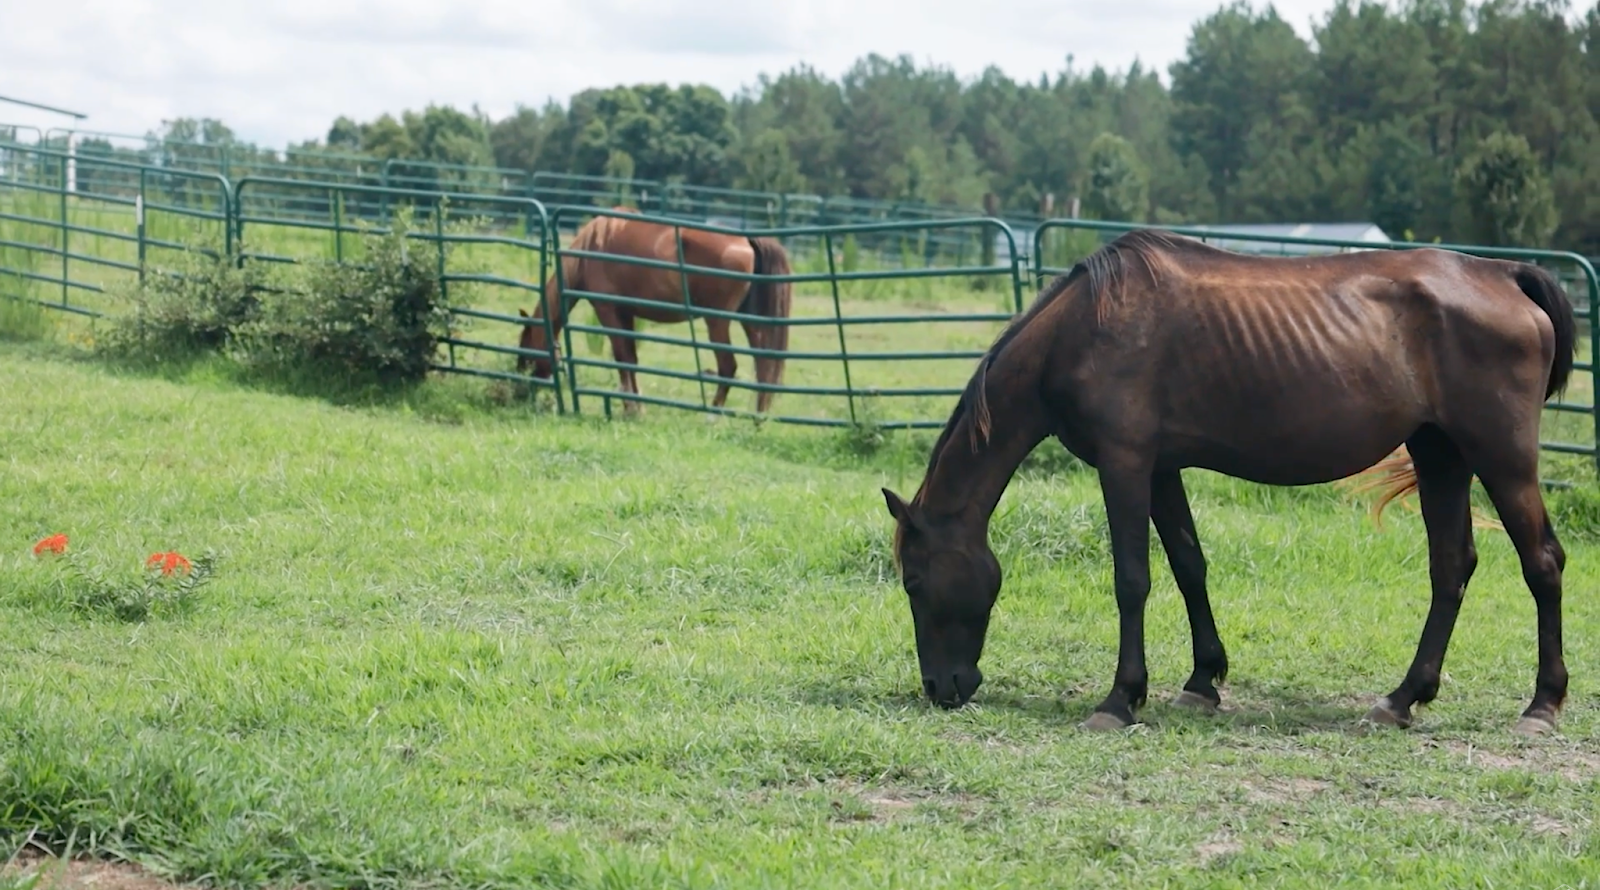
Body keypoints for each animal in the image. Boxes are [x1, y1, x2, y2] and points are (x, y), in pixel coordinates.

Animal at [516, 208, 793, 415]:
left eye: (525, 348)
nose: (519, 389)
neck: (593, 246)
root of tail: (746, 241)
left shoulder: (608, 311)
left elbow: (621, 357)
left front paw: (630, 407)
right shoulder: (626, 314)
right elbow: (631, 359)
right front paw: (636, 406)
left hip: (717, 322)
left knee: (728, 367)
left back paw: (712, 417)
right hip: (750, 322)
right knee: (763, 365)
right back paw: (757, 418)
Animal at [880, 228, 1576, 737]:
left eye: (913, 582)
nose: (941, 688)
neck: (1081, 330)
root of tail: (1503, 275)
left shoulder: (1123, 464)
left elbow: (1132, 579)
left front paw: (1120, 698)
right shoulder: (1160, 468)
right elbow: (1189, 566)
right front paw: (1201, 681)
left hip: (1501, 457)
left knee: (1542, 562)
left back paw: (1542, 705)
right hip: (1440, 456)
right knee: (1451, 567)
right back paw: (1402, 698)